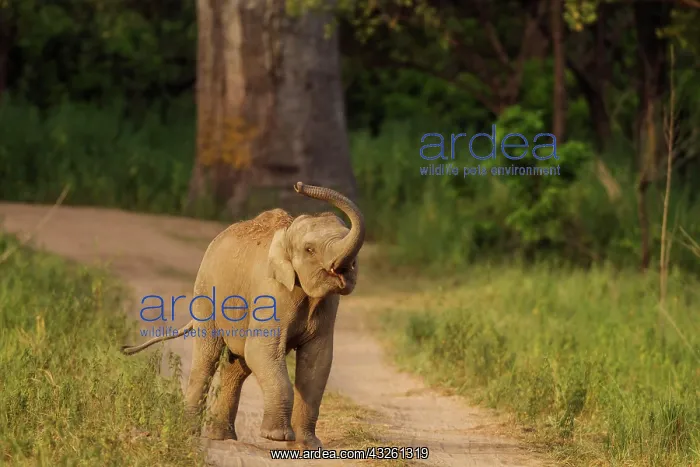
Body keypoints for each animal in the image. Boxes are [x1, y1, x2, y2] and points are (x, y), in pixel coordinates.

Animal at [120, 182, 365, 450]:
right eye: (309, 250)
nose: (299, 185)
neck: (287, 234)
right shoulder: (271, 293)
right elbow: (262, 350)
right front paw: (276, 437)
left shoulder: (327, 305)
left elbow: (318, 361)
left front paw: (308, 446)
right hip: (205, 293)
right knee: (208, 357)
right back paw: (190, 432)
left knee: (237, 365)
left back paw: (221, 436)